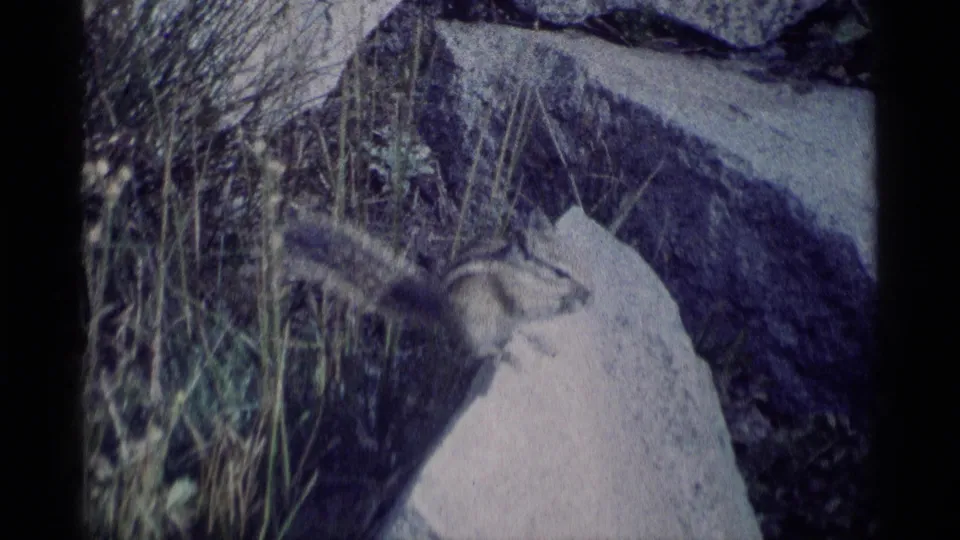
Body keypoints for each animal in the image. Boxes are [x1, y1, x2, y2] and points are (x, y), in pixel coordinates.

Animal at [281, 206, 592, 362]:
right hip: (477, 325)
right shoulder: (515, 291)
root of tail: (442, 309)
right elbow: (532, 305)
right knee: (474, 350)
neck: (525, 272)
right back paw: (501, 353)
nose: (590, 294)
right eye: (560, 272)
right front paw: (570, 301)